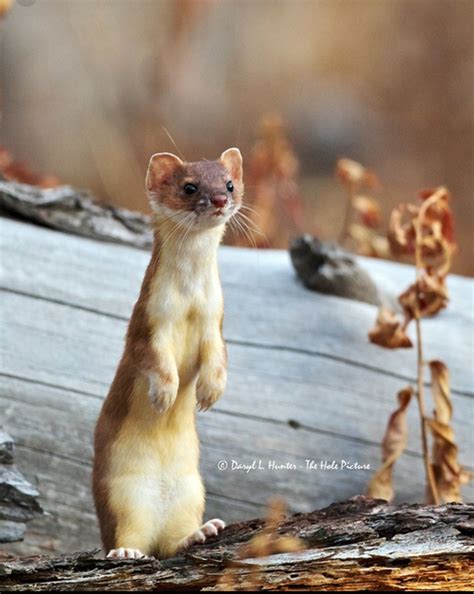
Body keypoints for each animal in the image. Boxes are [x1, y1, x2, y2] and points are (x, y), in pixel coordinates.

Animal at [91, 146, 244, 556]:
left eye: (229, 183)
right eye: (189, 187)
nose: (220, 200)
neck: (189, 302)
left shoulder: (215, 322)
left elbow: (219, 357)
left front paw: (210, 391)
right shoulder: (148, 322)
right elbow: (152, 358)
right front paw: (165, 393)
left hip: (191, 490)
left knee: (171, 542)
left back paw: (202, 530)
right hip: (121, 492)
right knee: (129, 534)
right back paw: (126, 551)